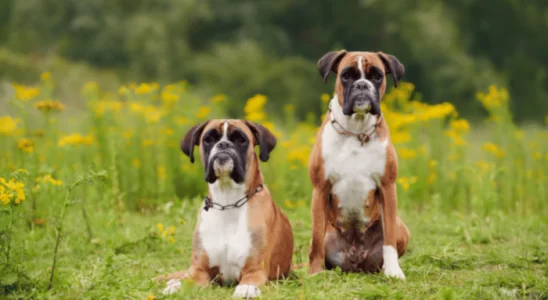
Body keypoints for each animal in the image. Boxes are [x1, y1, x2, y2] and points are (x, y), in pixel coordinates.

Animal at [157, 119, 294, 298]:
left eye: (241, 139)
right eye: (209, 139)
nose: (223, 144)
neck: (227, 201)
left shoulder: (255, 269)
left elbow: (249, 281)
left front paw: (246, 288)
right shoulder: (200, 270)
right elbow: (188, 281)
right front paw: (176, 287)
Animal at [308, 49, 412, 278]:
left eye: (377, 76)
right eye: (346, 75)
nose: (363, 85)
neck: (355, 131)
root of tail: (357, 264)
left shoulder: (388, 187)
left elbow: (389, 239)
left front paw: (393, 271)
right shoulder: (320, 189)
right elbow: (316, 240)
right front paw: (315, 272)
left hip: (402, 227)